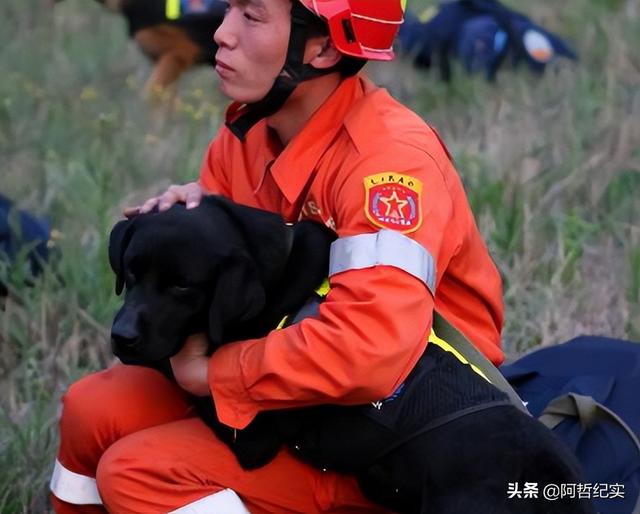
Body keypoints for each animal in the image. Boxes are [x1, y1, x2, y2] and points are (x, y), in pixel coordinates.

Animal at [107, 194, 592, 510]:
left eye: (182, 287)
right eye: (130, 273)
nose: (121, 335)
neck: (271, 272)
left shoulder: (252, 439)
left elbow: (184, 372)